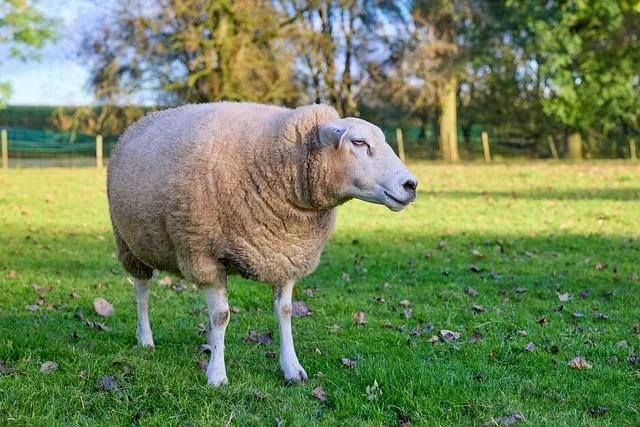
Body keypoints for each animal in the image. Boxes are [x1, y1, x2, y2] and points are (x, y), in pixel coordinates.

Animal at [107, 102, 417, 386]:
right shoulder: (203, 255)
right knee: (142, 290)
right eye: (359, 142)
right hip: (130, 242)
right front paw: (217, 375)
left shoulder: (287, 254)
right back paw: (145, 338)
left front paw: (292, 368)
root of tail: (141, 121)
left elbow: (285, 311)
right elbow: (221, 316)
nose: (411, 185)